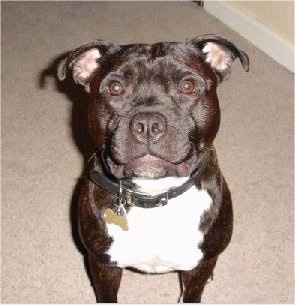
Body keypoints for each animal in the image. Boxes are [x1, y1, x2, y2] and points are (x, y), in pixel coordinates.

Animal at [57, 33, 250, 302]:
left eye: (188, 86)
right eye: (115, 88)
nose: (147, 124)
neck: (155, 194)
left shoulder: (198, 268)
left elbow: (192, 292)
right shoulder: (104, 266)